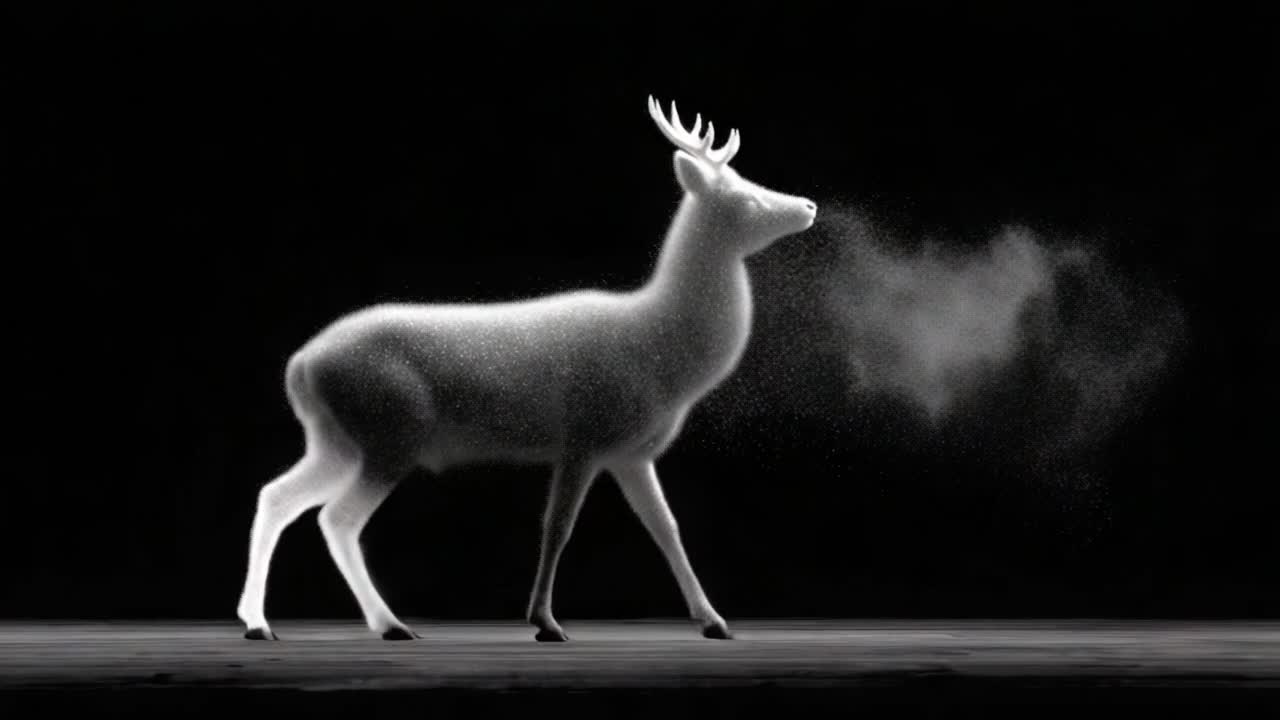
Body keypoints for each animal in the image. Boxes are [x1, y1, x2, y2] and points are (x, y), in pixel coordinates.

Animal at [235, 96, 818, 642]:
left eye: (749, 179)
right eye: (745, 196)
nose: (809, 204)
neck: (662, 353)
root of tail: (301, 364)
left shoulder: (632, 452)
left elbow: (666, 527)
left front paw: (714, 620)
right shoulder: (583, 434)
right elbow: (557, 527)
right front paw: (545, 621)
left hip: (336, 439)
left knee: (276, 496)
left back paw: (258, 622)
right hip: (388, 431)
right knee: (337, 518)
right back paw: (390, 624)